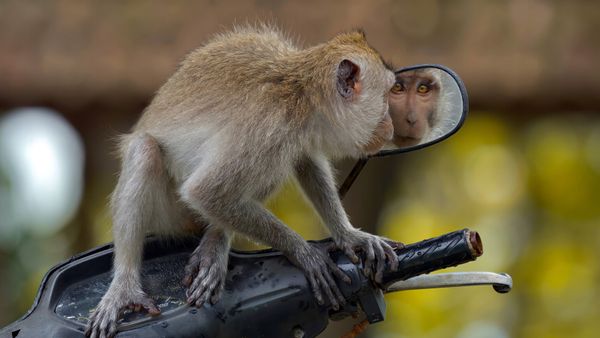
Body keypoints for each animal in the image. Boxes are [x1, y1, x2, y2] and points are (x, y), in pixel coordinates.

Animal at [85, 25, 398, 336]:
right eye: (386, 95)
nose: (392, 124)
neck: (302, 93)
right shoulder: (269, 126)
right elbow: (205, 191)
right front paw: (304, 252)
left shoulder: (296, 130)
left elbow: (305, 161)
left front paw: (348, 235)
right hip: (170, 216)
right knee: (146, 151)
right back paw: (124, 288)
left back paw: (216, 240)